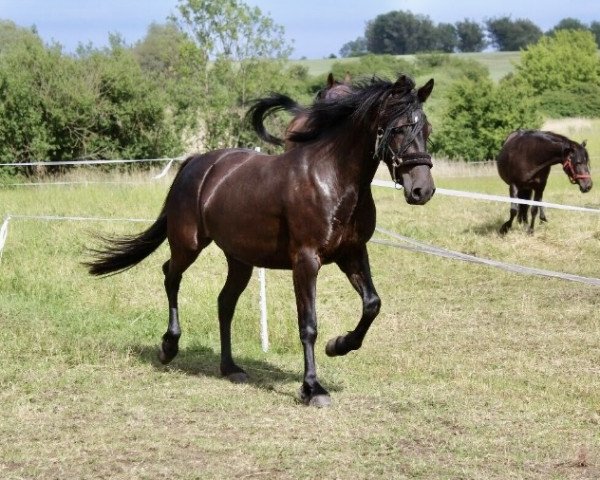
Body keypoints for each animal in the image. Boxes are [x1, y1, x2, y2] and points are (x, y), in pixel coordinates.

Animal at [85, 76, 436, 408]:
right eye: (399, 128)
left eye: (427, 129)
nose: (422, 190)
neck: (333, 180)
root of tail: (195, 163)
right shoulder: (306, 261)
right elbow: (308, 324)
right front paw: (312, 388)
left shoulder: (352, 253)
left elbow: (372, 304)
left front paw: (338, 345)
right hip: (188, 243)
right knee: (170, 275)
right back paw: (168, 347)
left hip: (239, 260)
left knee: (224, 302)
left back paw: (230, 368)